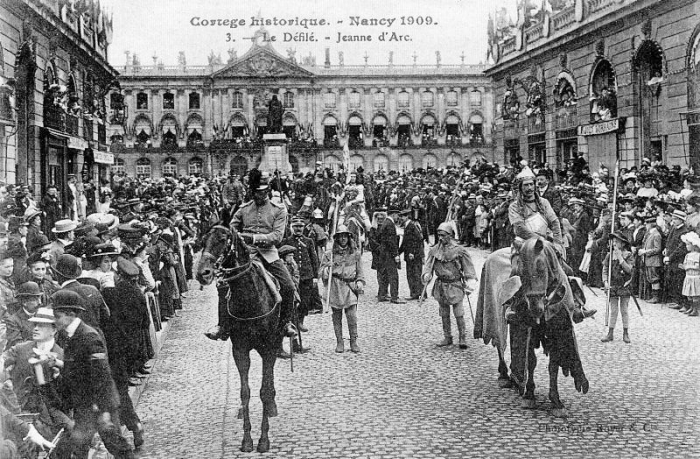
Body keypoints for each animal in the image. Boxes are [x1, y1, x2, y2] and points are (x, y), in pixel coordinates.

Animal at [194, 224, 282, 452]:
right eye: (203, 240)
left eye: (223, 240)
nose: (202, 273)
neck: (250, 300)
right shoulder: (240, 350)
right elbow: (245, 392)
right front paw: (247, 439)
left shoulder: (268, 348)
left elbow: (264, 390)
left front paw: (263, 440)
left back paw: (272, 407)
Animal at [474, 239, 588, 418]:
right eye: (521, 271)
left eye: (541, 268)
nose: (535, 308)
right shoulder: (529, 330)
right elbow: (531, 361)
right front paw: (529, 395)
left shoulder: (556, 333)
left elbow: (553, 366)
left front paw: (556, 401)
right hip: (496, 318)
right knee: (499, 344)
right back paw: (505, 375)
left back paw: (515, 378)